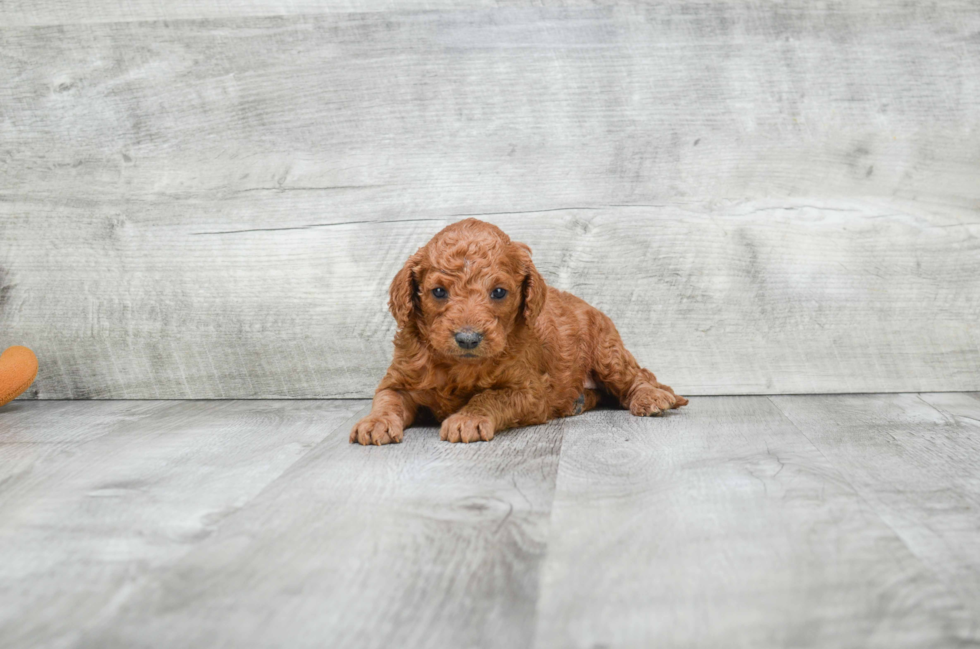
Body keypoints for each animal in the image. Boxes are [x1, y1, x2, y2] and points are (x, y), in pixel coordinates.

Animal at [352, 219, 688, 446]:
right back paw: (578, 402)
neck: (460, 367)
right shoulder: (399, 379)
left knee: (637, 376)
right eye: (438, 292)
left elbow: (491, 396)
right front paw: (375, 423)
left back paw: (651, 397)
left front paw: (468, 418)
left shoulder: (529, 389)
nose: (468, 339)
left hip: (608, 353)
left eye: (499, 292)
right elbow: (387, 399)